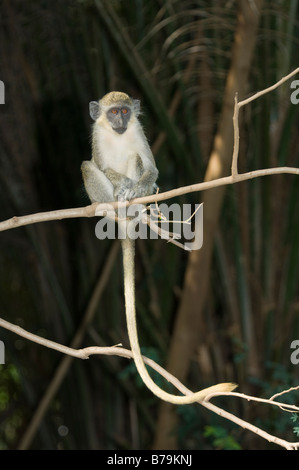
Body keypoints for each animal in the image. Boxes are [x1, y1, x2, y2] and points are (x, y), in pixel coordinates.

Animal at [81, 91, 237, 404]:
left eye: (125, 112)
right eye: (113, 112)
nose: (120, 121)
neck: (117, 135)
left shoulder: (138, 133)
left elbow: (151, 168)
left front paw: (137, 188)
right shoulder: (97, 136)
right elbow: (100, 166)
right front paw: (123, 185)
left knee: (137, 160)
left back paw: (134, 205)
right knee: (87, 166)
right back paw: (113, 206)